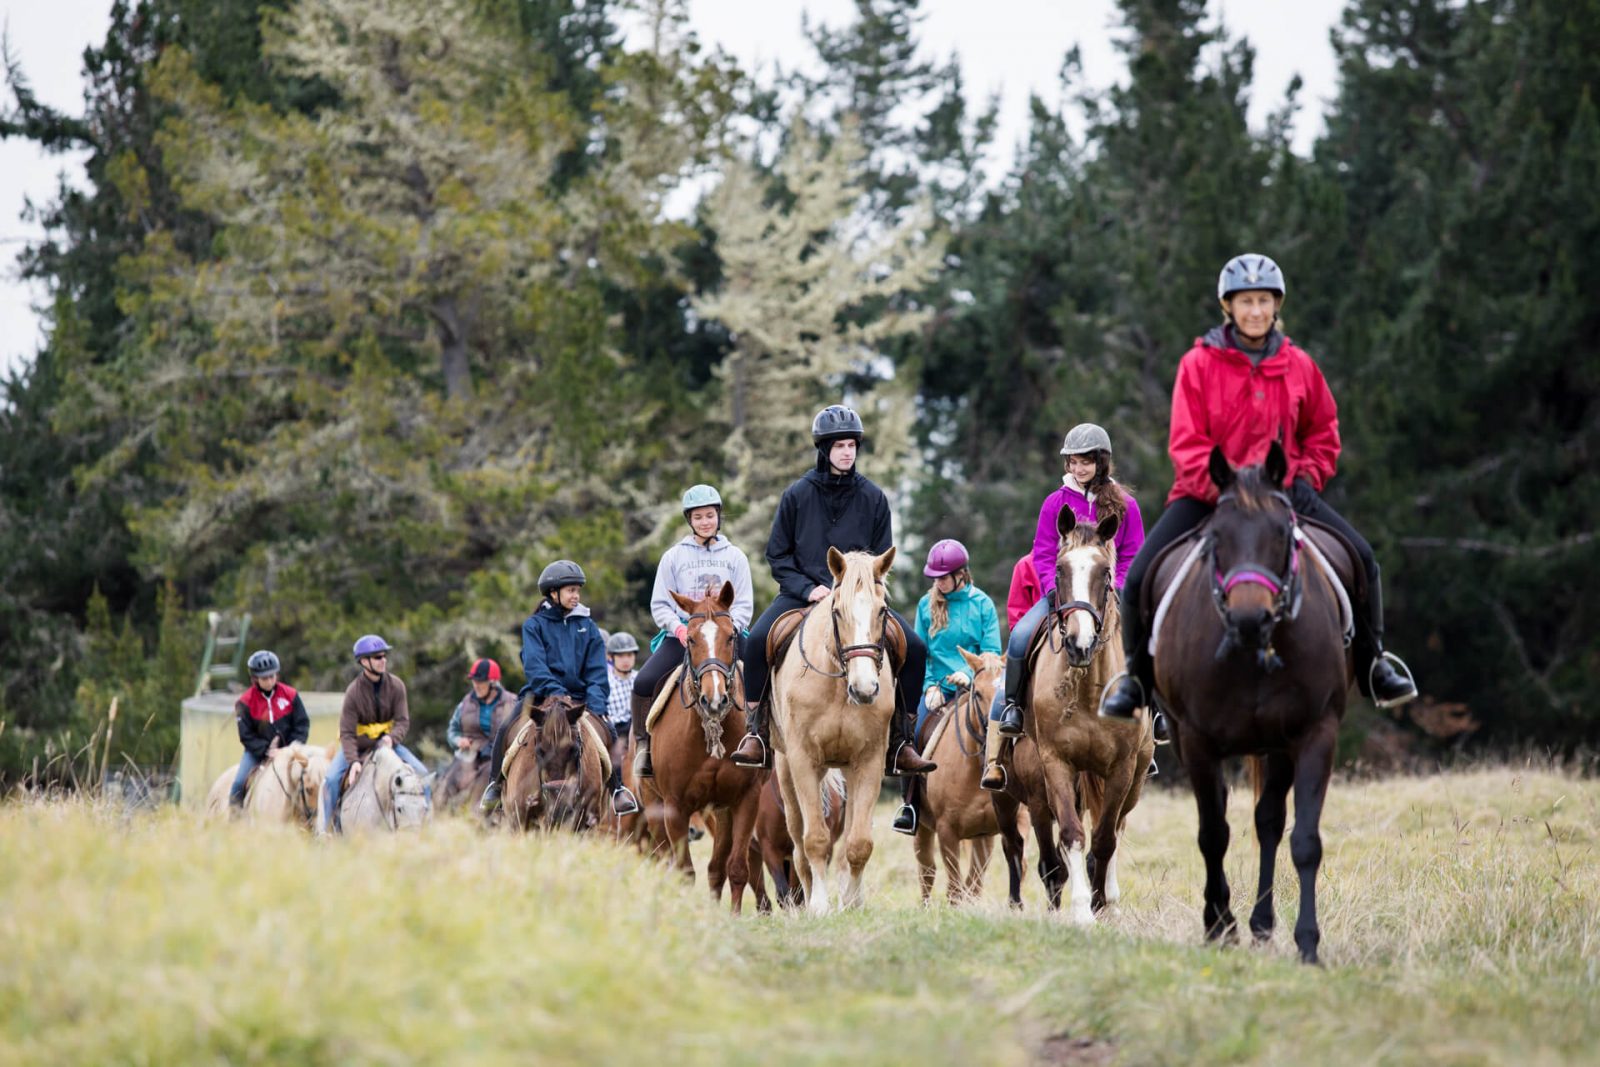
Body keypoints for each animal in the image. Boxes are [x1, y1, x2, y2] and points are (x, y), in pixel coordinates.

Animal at [642, 581, 767, 913]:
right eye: (691, 639)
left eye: (730, 636)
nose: (715, 699)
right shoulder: (675, 807)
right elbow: (684, 872)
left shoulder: (745, 799)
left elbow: (735, 868)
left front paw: (731, 918)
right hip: (653, 805)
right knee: (664, 860)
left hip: (720, 812)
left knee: (716, 868)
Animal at [770, 546, 899, 915]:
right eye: (837, 612)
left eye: (882, 610)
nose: (865, 689)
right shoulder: (803, 761)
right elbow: (814, 839)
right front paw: (819, 907)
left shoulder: (868, 761)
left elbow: (859, 843)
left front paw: (852, 903)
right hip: (785, 772)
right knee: (798, 843)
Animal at [911, 649, 1005, 905]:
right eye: (978, 693)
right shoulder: (946, 831)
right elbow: (954, 889)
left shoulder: (988, 833)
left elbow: (972, 887)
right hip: (922, 828)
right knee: (927, 872)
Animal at [1022, 514, 1155, 924]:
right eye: (1059, 570)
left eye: (1105, 572)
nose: (1079, 644)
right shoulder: (1057, 763)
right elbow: (1072, 834)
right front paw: (1083, 911)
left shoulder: (1122, 768)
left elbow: (1106, 839)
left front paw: (1101, 903)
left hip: (1135, 777)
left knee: (1117, 827)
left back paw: (1109, 896)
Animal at [1148, 442, 1354, 964]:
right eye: (1215, 537)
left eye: (1282, 533)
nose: (1248, 619)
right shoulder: (1196, 740)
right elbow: (1213, 833)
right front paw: (1218, 925)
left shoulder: (1314, 734)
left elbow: (1304, 839)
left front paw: (1307, 943)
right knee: (1222, 818)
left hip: (1278, 748)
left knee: (1268, 822)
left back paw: (1262, 923)